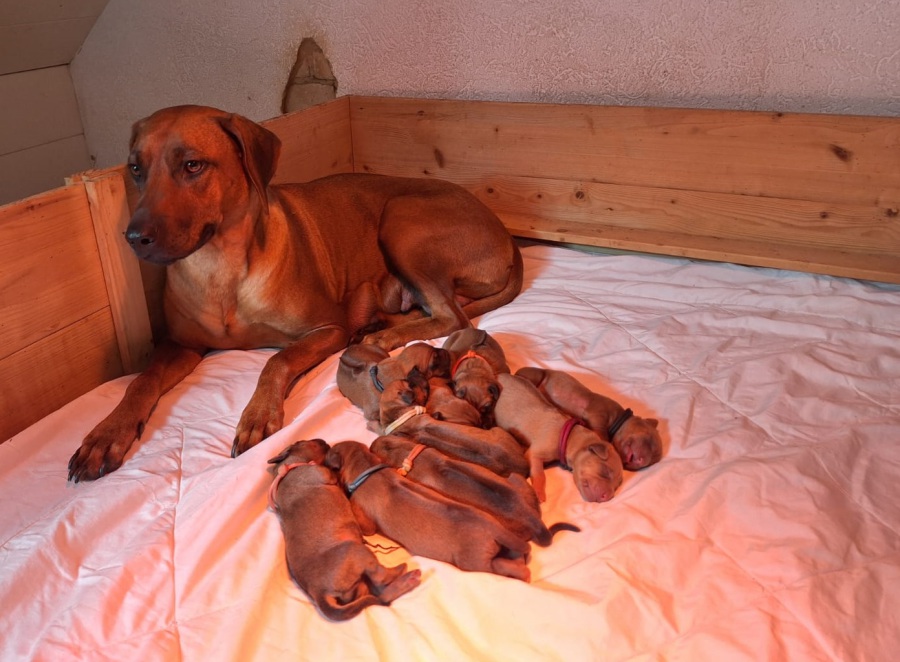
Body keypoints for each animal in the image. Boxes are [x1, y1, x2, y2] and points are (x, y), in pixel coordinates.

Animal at [67, 104, 523, 482]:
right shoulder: (180, 344)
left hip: (402, 219)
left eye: (193, 165)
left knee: (451, 315)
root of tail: (505, 234)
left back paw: (381, 334)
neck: (220, 269)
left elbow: (278, 359)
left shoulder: (326, 329)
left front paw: (258, 413)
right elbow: (141, 381)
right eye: (135, 169)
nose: (133, 237)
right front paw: (107, 433)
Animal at [266, 439, 420, 620]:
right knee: (381, 579)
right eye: (302, 441)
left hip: (358, 586)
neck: (288, 468)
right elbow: (331, 474)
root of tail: (319, 592)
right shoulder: (321, 473)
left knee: (382, 596)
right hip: (356, 551)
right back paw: (404, 572)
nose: (323, 440)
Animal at [370, 434, 579, 546]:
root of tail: (533, 519)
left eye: (377, 450)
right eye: (388, 439)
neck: (411, 455)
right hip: (517, 479)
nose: (372, 442)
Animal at [493, 373, 624, 503]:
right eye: (605, 471)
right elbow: (539, 474)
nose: (607, 497)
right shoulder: (534, 454)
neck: (570, 436)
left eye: (617, 486)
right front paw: (539, 493)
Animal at [516, 367, 663, 470]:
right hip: (537, 374)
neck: (619, 417)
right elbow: (601, 436)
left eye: (649, 464)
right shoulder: (597, 414)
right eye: (650, 439)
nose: (640, 462)